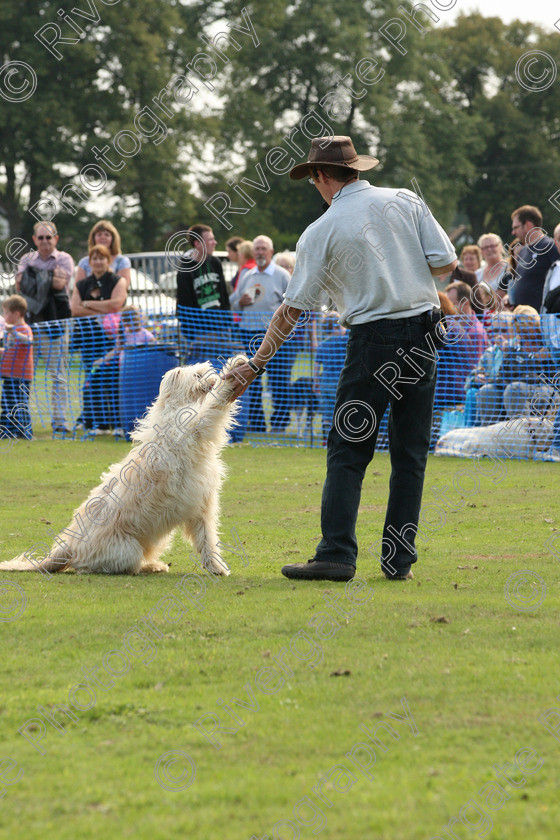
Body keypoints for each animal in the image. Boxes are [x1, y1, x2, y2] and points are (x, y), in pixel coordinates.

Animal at [0, 354, 245, 576]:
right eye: (197, 375)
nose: (213, 377)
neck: (176, 409)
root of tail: (67, 548)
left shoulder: (202, 507)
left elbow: (207, 540)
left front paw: (216, 568)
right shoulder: (197, 425)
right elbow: (214, 405)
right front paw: (235, 368)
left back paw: (154, 565)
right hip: (127, 550)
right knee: (110, 567)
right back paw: (148, 567)